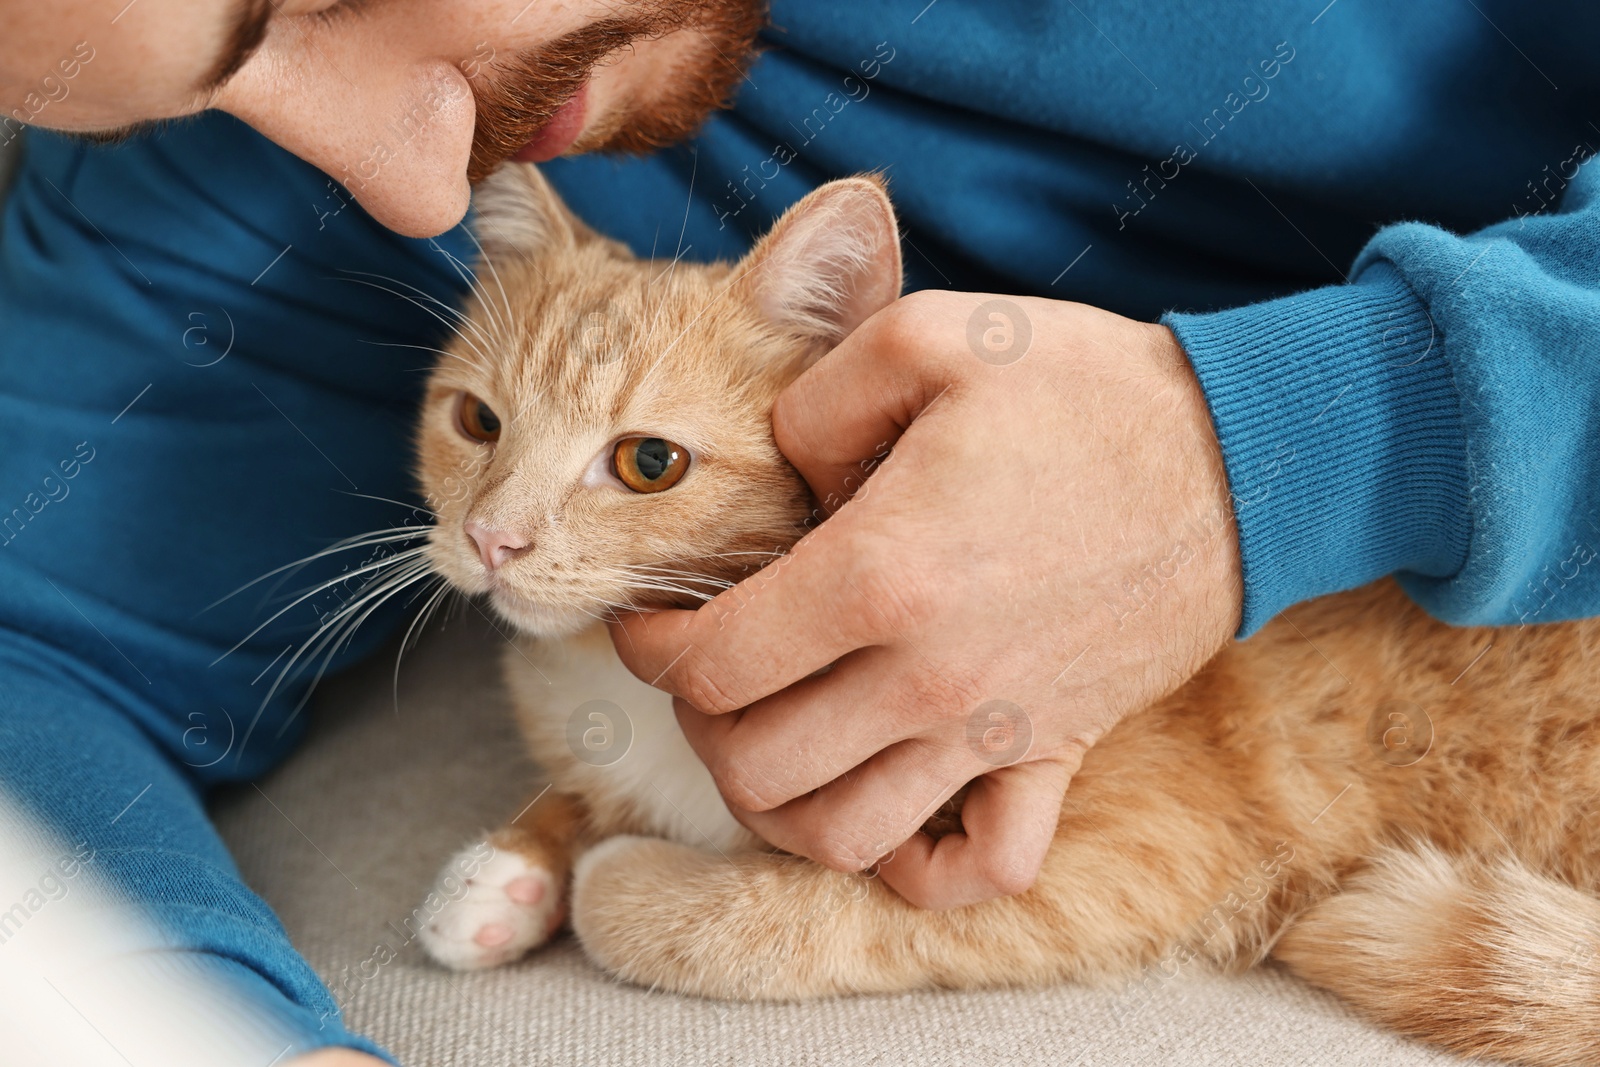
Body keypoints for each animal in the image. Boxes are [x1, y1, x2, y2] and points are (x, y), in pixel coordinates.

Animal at [416, 167, 1600, 1067]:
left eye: (648, 462)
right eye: (477, 422)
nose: (491, 538)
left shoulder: (1119, 861)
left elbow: (777, 917)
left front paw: (612, 878)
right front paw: (508, 866)